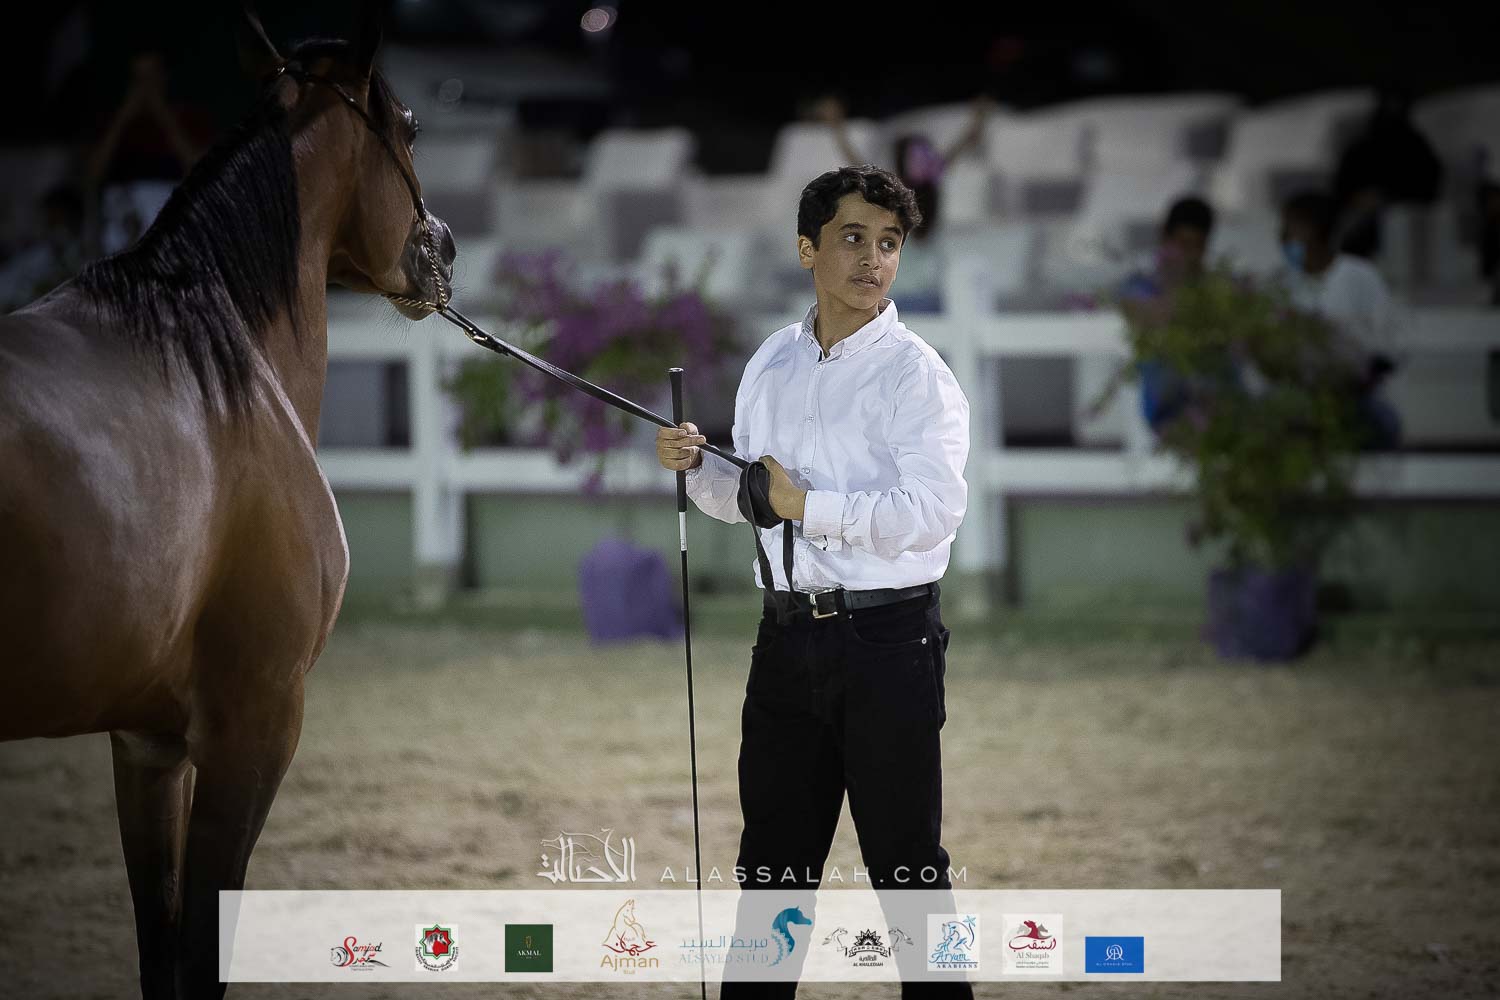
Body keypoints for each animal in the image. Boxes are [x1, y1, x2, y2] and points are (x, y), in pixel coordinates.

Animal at [0, 8, 454, 998]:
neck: (221, 357)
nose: (440, 246)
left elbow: (160, 945)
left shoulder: (147, 744)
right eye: (407, 126)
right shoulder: (255, 722)